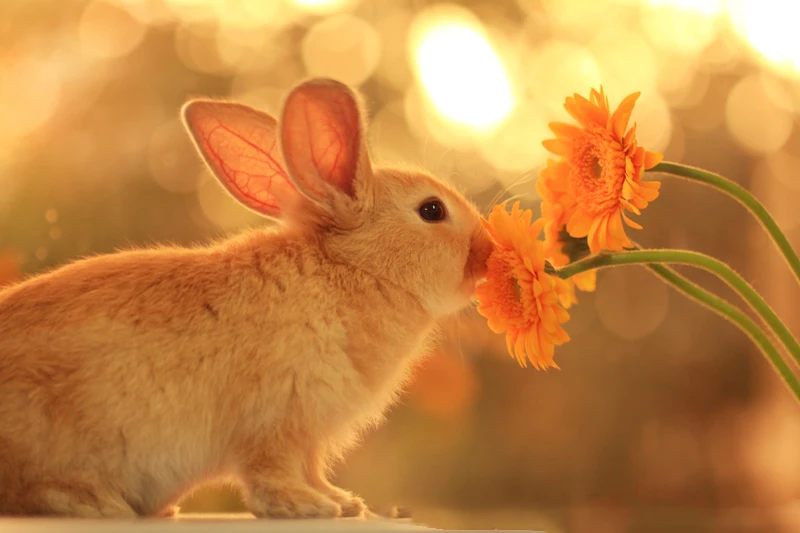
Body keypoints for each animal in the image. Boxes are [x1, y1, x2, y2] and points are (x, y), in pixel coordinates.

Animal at [0, 78, 495, 519]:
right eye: (431, 210)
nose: (488, 252)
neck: (356, 269)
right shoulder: (277, 420)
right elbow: (272, 474)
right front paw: (307, 507)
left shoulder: (308, 438)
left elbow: (312, 471)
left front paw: (343, 502)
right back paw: (94, 503)